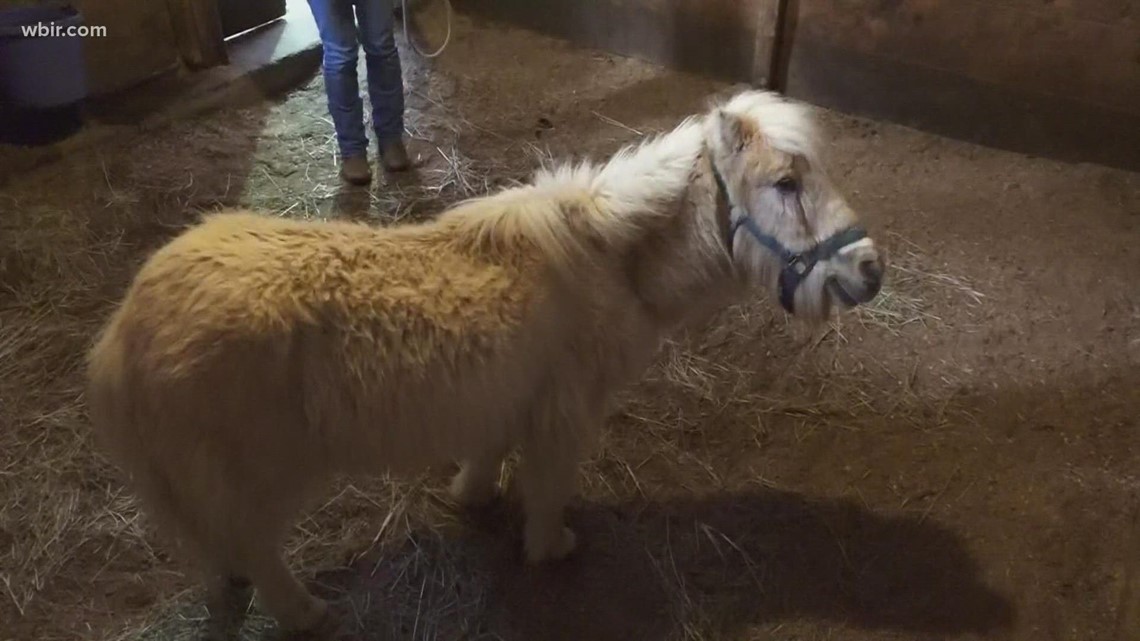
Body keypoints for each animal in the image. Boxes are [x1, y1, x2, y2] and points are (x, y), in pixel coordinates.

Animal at [85, 89, 886, 633]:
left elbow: (487, 453)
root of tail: (124, 331)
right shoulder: (565, 413)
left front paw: (471, 497)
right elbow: (549, 487)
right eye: (785, 183)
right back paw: (309, 612)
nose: (871, 270)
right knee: (255, 550)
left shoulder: (510, 397)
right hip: (259, 481)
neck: (612, 258)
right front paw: (550, 547)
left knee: (224, 557)